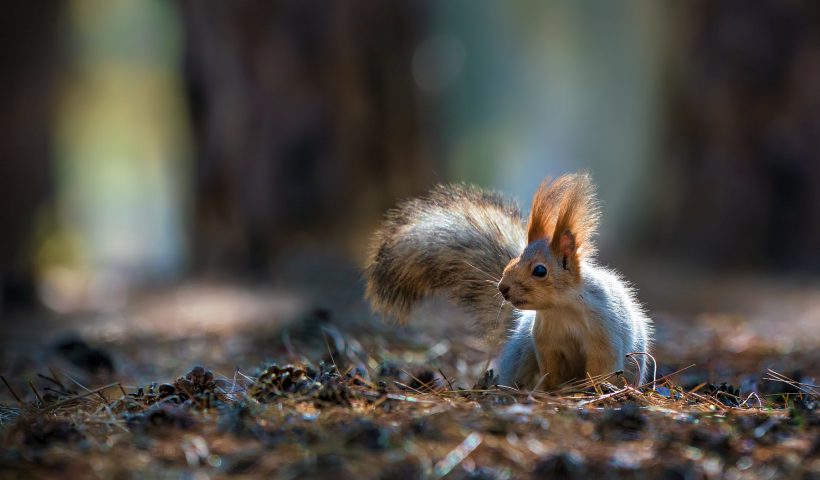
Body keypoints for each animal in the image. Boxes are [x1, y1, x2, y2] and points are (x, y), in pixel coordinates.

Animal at [366, 172, 652, 390]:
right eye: (510, 263)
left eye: (540, 270)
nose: (502, 288)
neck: (561, 310)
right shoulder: (546, 344)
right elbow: (551, 370)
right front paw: (551, 390)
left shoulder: (604, 335)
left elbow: (601, 367)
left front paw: (591, 388)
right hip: (523, 350)